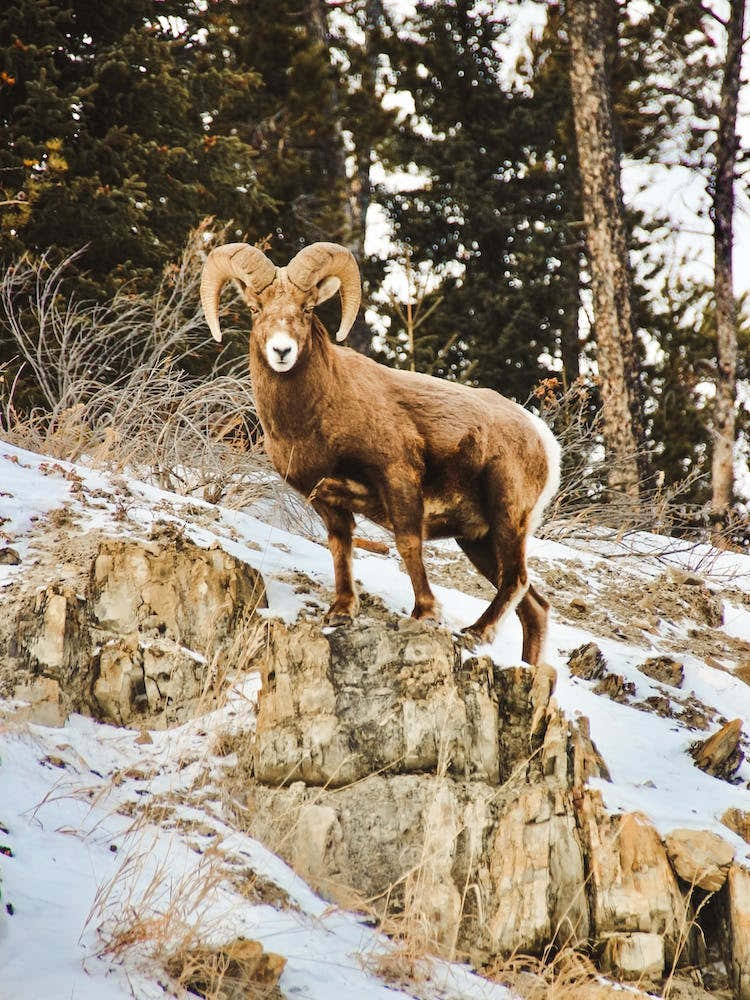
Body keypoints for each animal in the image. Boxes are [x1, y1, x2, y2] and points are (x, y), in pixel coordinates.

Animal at [200, 241, 561, 665]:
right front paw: (341, 611)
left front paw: (425, 613)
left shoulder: (397, 477)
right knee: (533, 606)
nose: (282, 351)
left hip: (507, 516)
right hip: (477, 541)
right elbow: (340, 546)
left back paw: (476, 632)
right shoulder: (327, 500)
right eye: (256, 309)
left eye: (307, 308)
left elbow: (407, 543)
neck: (317, 414)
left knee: (516, 580)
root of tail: (542, 438)